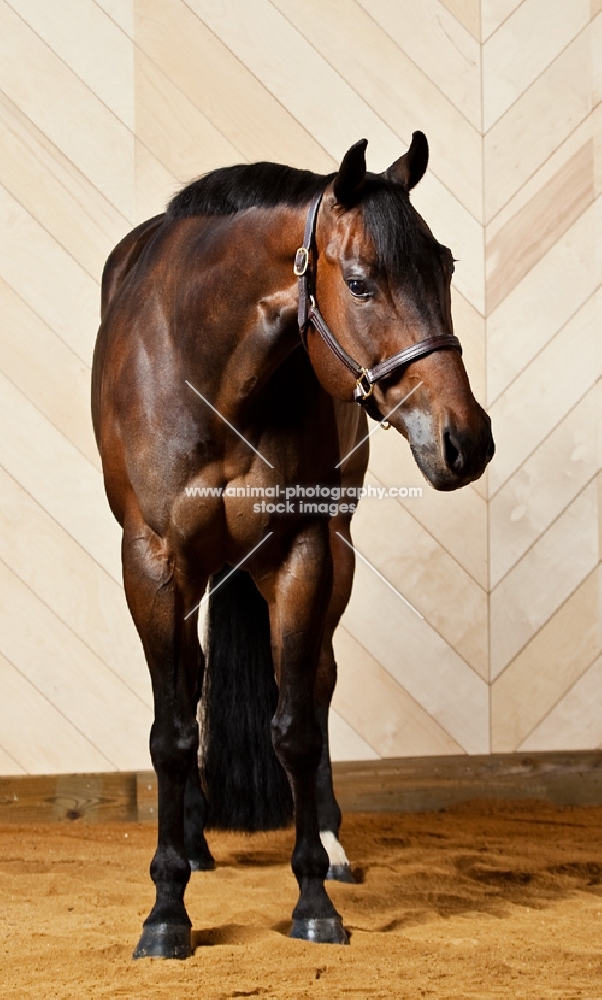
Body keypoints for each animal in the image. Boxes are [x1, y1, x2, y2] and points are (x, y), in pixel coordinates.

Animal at [90, 129, 492, 956]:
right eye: (362, 282)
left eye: (444, 267)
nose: (465, 440)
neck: (209, 364)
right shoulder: (153, 562)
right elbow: (170, 731)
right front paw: (166, 909)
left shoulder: (302, 552)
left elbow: (297, 725)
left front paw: (312, 899)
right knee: (194, 687)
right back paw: (194, 844)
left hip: (336, 551)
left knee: (320, 680)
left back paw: (330, 845)